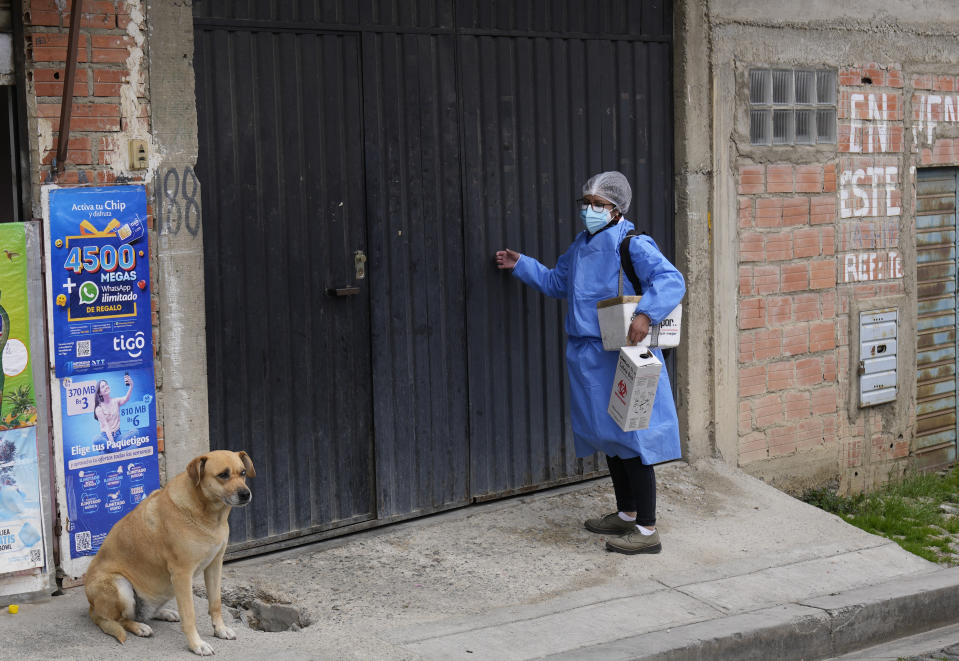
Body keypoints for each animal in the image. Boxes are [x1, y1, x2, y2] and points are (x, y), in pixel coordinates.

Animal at [84, 448, 255, 656]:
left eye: (243, 473)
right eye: (223, 475)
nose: (246, 494)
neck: (208, 514)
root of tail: (92, 608)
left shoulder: (215, 565)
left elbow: (215, 603)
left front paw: (220, 630)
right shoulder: (182, 574)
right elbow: (189, 614)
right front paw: (196, 644)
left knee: (144, 613)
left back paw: (163, 613)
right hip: (120, 585)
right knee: (119, 620)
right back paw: (139, 627)